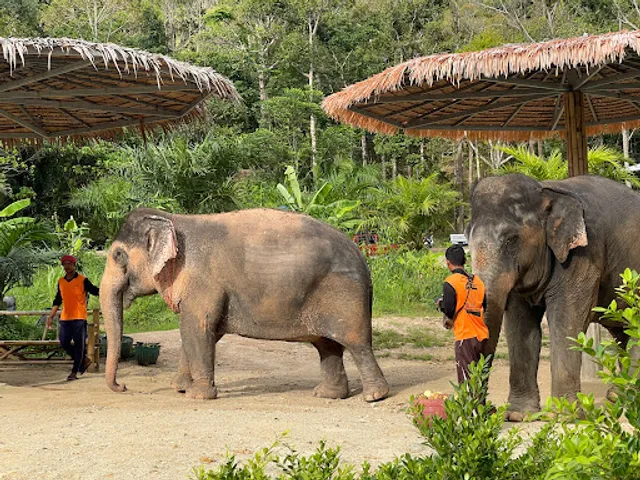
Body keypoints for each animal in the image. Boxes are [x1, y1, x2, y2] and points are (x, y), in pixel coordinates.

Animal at [100, 207, 389, 402]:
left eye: (118, 255)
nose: (123, 387)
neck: (172, 218)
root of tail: (362, 257)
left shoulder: (203, 282)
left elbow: (196, 328)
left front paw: (196, 395)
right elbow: (199, 332)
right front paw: (179, 387)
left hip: (345, 295)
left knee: (357, 344)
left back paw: (374, 396)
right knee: (327, 346)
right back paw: (328, 395)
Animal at [468, 174, 640, 421]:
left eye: (511, 239)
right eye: (466, 241)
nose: (488, 410)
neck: (546, 191)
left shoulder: (584, 254)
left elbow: (565, 319)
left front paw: (565, 416)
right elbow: (520, 326)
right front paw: (518, 415)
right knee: (623, 331)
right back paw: (618, 396)